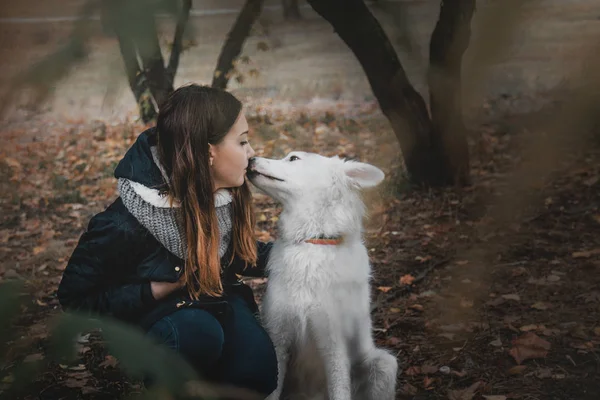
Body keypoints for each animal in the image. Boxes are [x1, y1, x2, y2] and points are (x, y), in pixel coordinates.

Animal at [248, 152, 398, 398]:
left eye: (293, 158)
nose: (250, 159)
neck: (313, 240)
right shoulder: (278, 338)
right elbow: (273, 392)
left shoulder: (334, 345)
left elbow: (340, 390)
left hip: (384, 363)